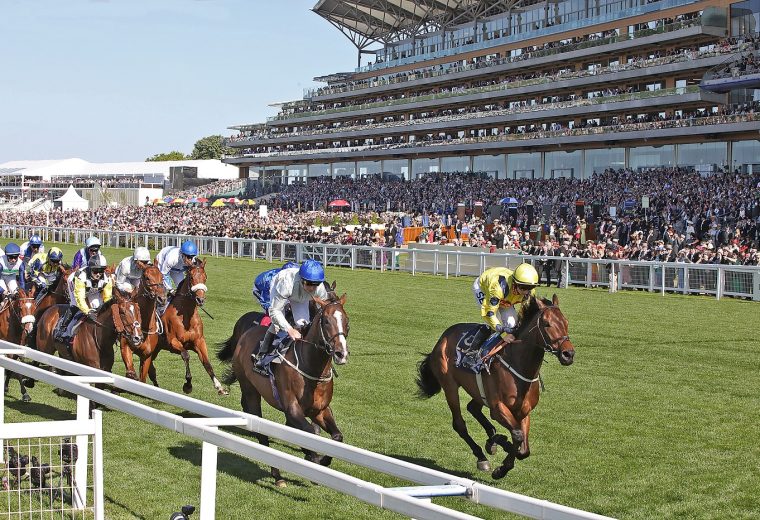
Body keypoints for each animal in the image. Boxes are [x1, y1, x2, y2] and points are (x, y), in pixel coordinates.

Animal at [154, 260, 226, 394]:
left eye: (205, 277)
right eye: (191, 277)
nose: (200, 299)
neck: (186, 316)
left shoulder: (199, 341)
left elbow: (207, 363)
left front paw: (219, 386)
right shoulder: (173, 341)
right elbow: (186, 355)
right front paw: (188, 384)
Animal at [217, 290, 350, 486]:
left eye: (347, 321)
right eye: (326, 321)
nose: (342, 354)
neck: (311, 368)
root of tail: (245, 334)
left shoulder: (320, 410)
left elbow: (337, 437)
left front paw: (322, 461)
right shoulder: (292, 408)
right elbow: (309, 432)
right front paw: (313, 459)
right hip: (250, 390)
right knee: (261, 431)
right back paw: (277, 475)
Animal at [416, 296, 576, 480]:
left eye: (566, 321)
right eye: (546, 323)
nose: (568, 354)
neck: (519, 366)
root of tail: (442, 338)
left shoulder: (524, 411)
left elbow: (524, 449)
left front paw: (500, 444)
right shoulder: (498, 408)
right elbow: (517, 435)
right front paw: (501, 468)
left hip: (479, 392)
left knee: (472, 408)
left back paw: (492, 439)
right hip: (450, 386)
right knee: (459, 424)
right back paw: (482, 456)